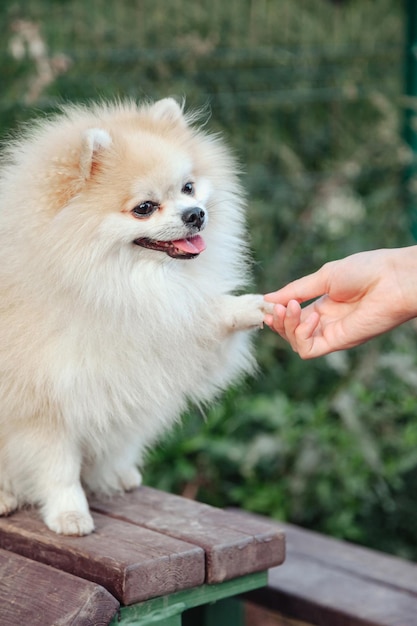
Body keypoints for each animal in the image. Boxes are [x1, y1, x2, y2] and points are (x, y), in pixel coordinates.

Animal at [0, 96, 268, 532]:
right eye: (144, 208)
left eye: (188, 187)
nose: (195, 213)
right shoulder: (43, 405)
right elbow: (58, 467)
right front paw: (70, 513)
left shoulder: (157, 343)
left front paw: (246, 307)